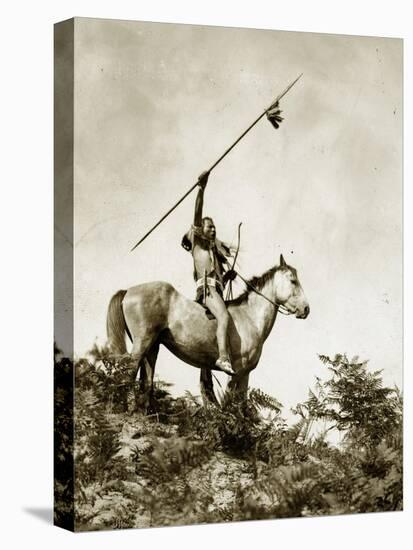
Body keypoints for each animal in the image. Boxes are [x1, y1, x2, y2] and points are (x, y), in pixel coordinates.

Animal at [106, 254, 308, 410]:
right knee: (127, 373)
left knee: (146, 380)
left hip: (152, 346)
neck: (249, 317)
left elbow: (239, 405)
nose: (306, 309)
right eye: (293, 280)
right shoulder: (238, 372)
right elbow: (229, 405)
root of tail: (128, 291)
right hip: (142, 343)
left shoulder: (244, 374)